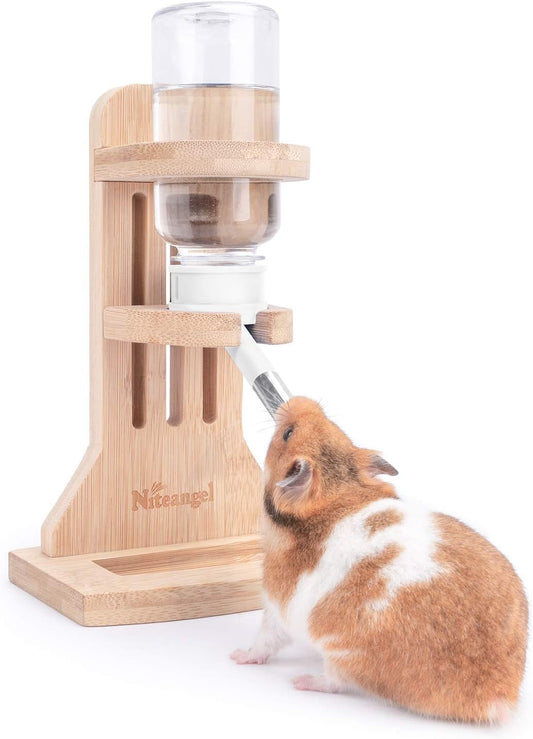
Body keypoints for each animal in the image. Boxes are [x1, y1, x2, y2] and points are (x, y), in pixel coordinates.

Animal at [231, 397, 528, 723]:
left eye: (287, 433)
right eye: (335, 426)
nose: (297, 400)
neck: (337, 496)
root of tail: (498, 694)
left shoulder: (275, 607)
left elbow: (265, 642)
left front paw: (237, 656)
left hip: (346, 656)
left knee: (335, 682)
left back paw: (302, 681)